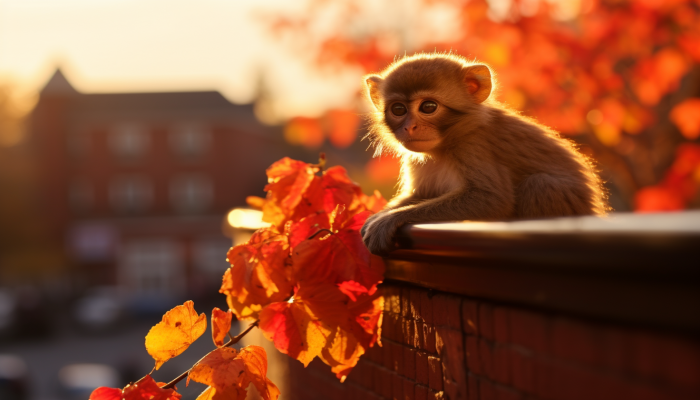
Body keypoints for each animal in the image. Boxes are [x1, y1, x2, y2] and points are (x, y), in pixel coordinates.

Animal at [360, 53, 608, 255]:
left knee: (542, 183)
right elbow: (421, 193)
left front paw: (388, 219)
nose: (409, 127)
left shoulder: (473, 146)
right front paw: (379, 215)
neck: (446, 144)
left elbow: (491, 198)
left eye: (428, 107)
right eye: (398, 109)